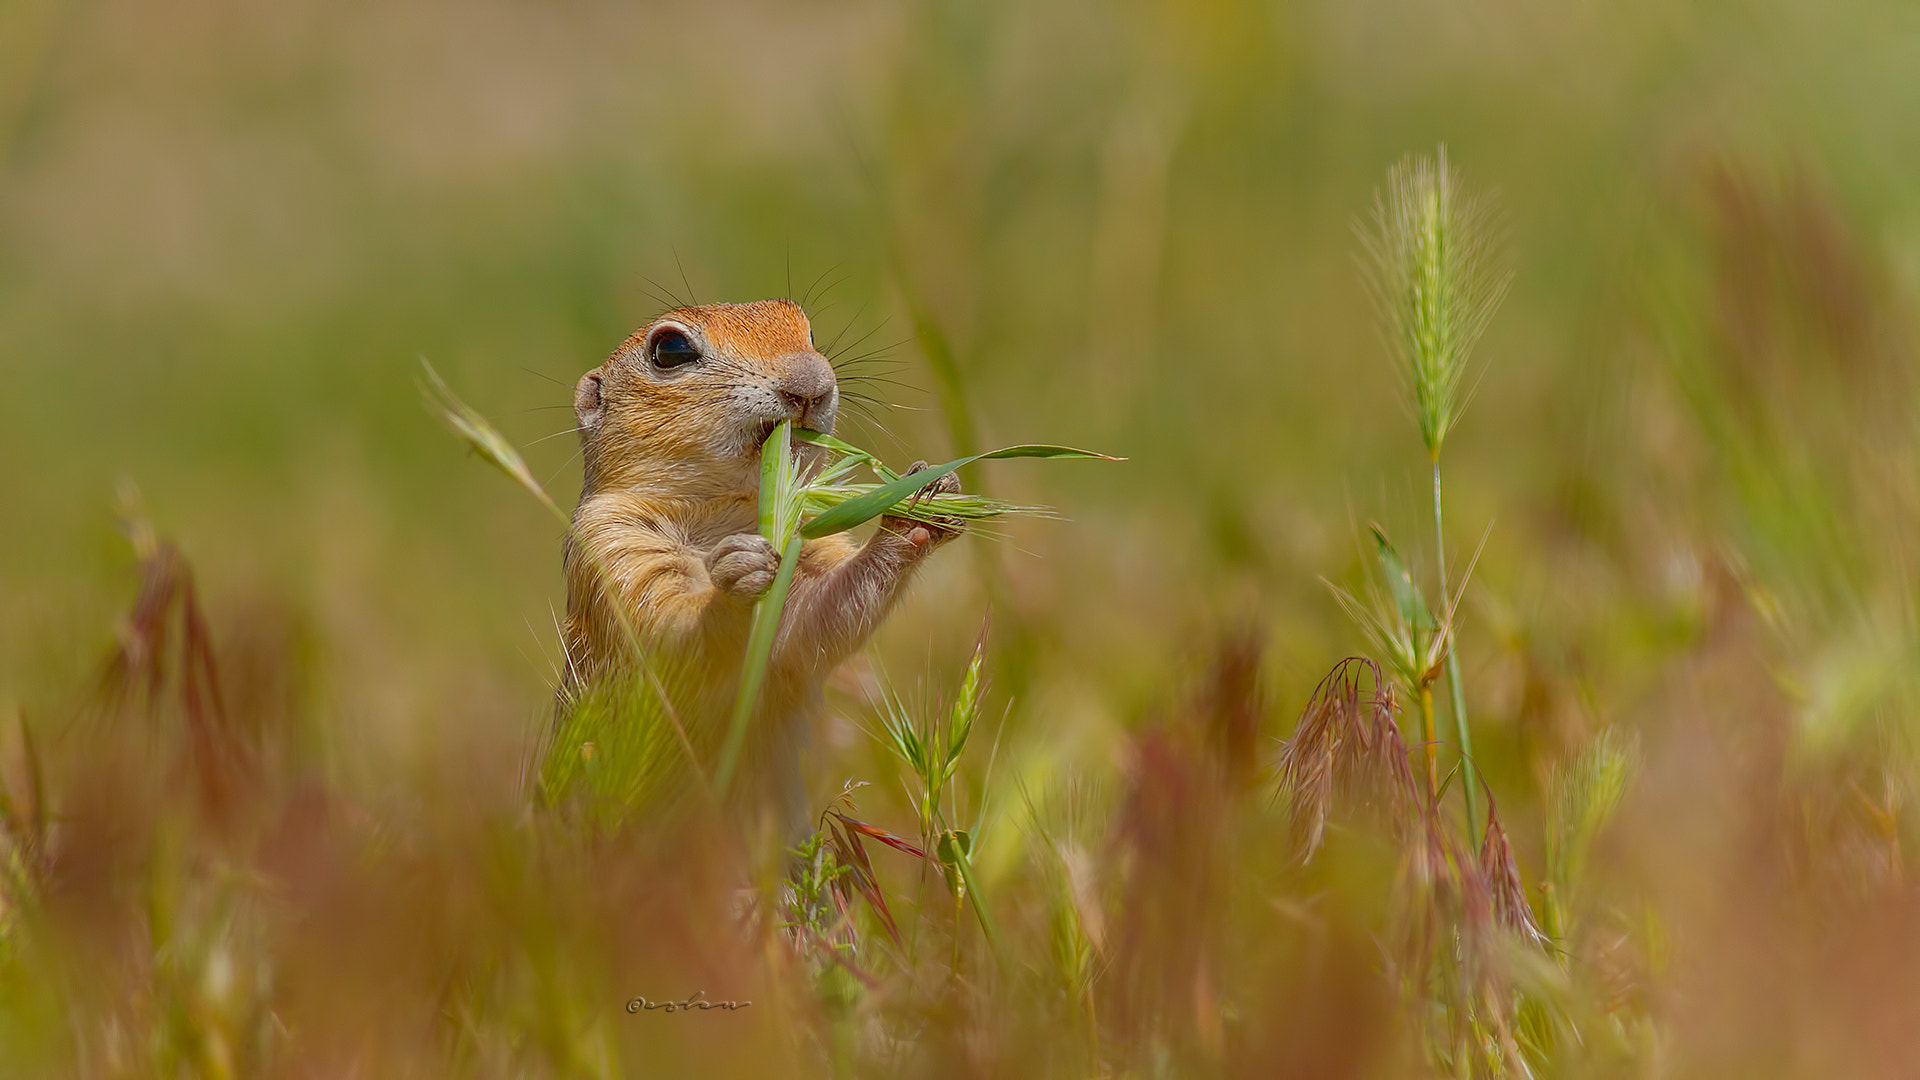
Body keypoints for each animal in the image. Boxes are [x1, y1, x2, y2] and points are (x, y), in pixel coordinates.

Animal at [560, 294, 967, 814]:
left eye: (809, 333)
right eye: (670, 349)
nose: (811, 383)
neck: (732, 510)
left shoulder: (809, 543)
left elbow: (816, 618)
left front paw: (923, 499)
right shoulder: (610, 544)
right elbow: (667, 637)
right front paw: (736, 580)